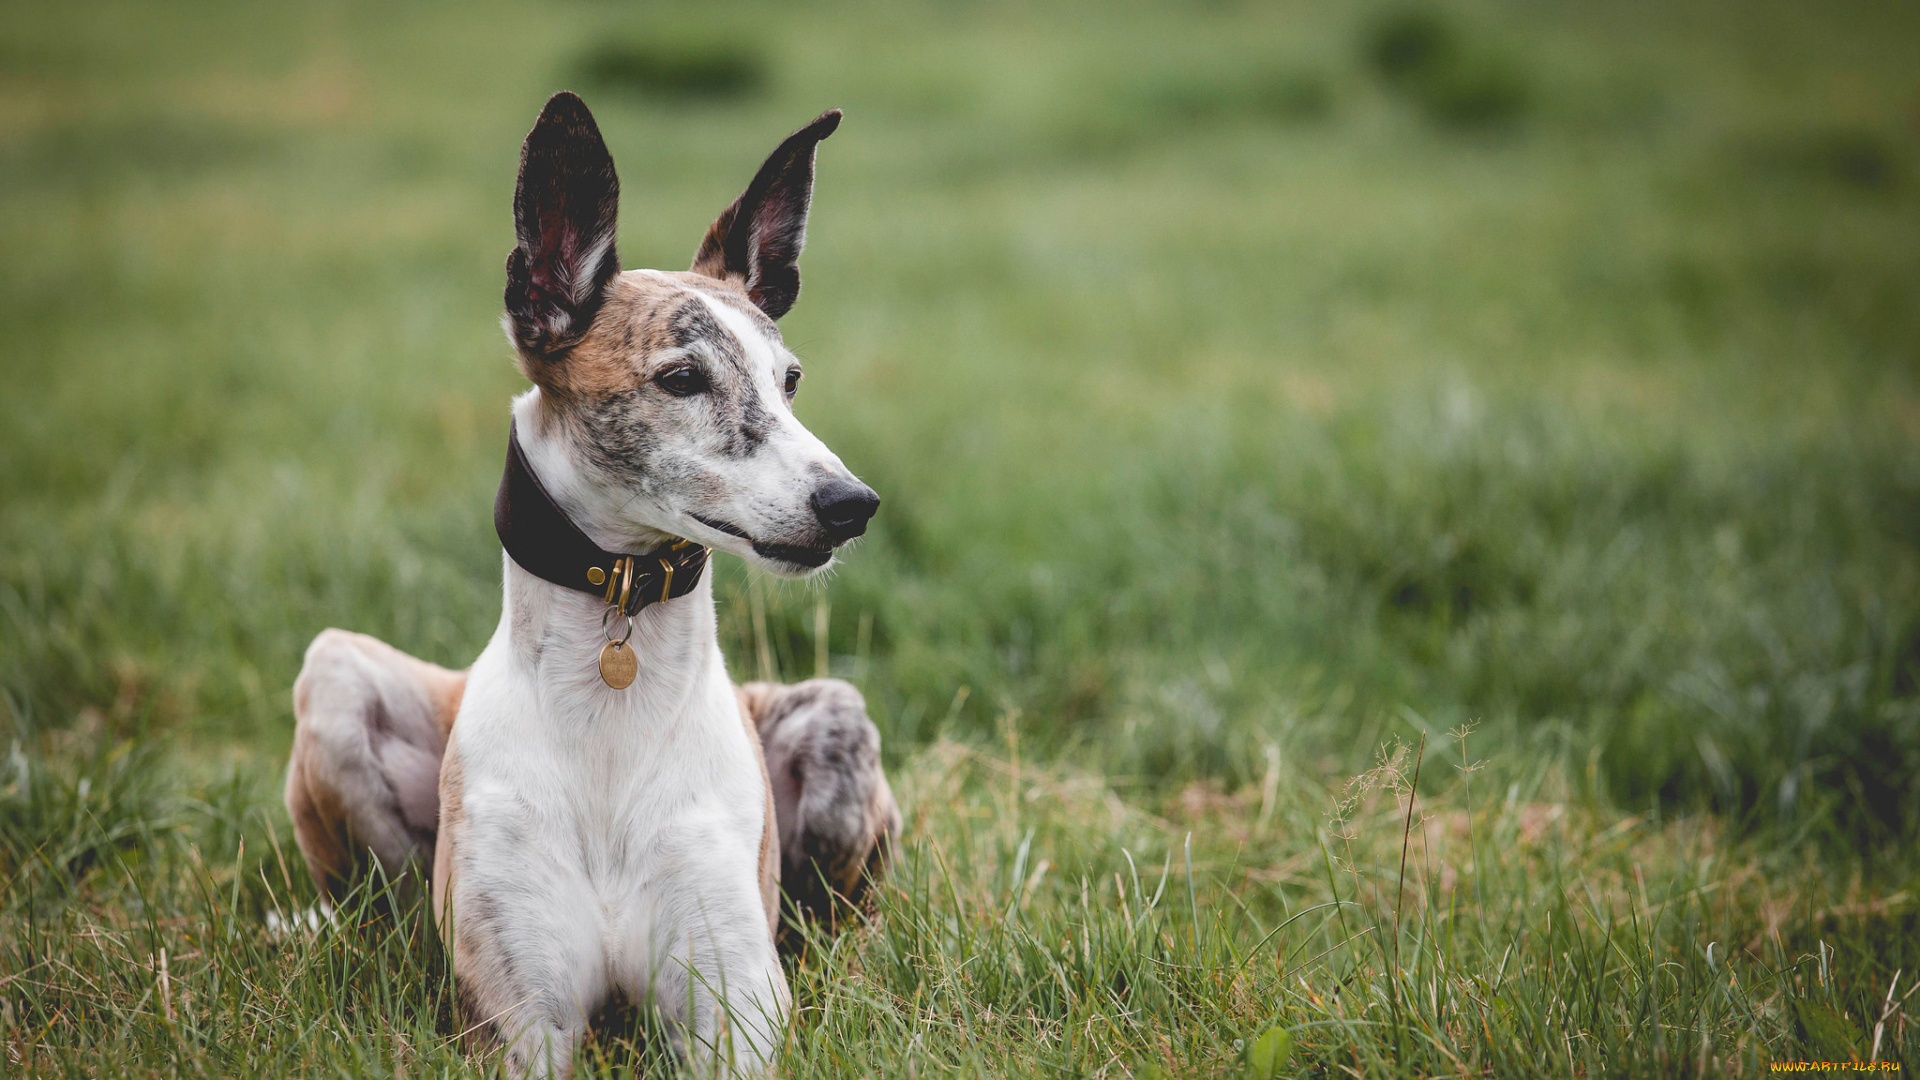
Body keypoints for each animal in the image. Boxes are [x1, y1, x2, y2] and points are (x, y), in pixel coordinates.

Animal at [280, 96, 902, 1068]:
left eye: (791, 380)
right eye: (681, 377)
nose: (851, 505)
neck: (614, 714)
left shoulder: (737, 1009)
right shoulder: (518, 1019)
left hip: (836, 722)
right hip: (336, 676)